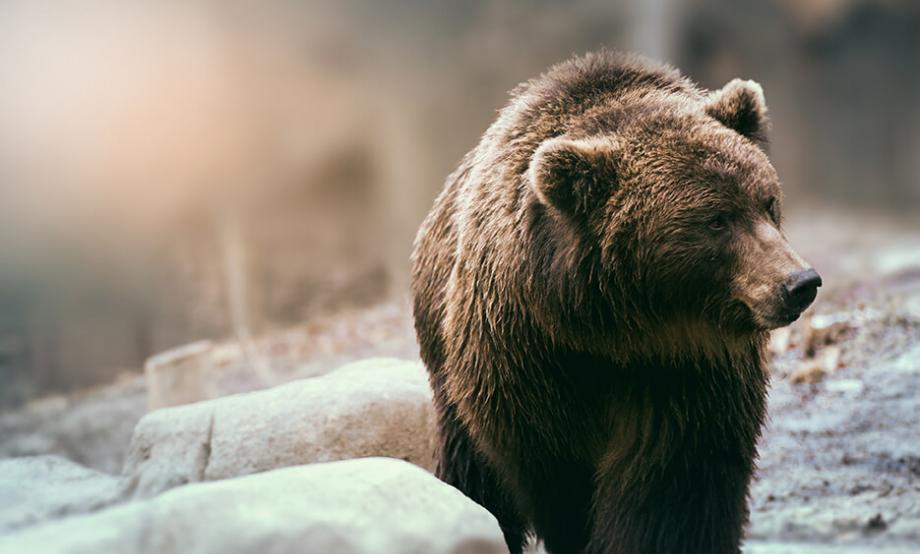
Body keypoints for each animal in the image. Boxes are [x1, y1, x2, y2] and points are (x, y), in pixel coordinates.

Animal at [410, 51, 820, 554]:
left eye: (767, 201)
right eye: (716, 220)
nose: (799, 282)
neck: (618, 331)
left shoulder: (689, 376)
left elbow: (675, 484)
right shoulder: (526, 358)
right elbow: (555, 473)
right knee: (471, 464)